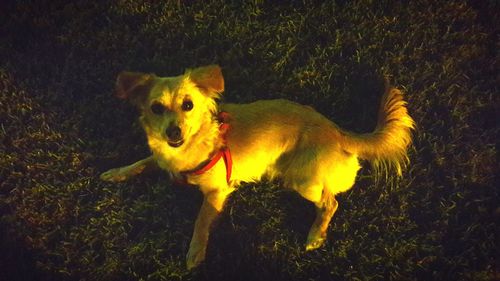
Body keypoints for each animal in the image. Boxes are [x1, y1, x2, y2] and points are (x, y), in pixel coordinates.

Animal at [98, 64, 414, 268]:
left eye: (188, 105)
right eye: (156, 108)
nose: (173, 132)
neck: (195, 143)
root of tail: (337, 131)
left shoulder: (217, 192)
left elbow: (201, 219)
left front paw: (195, 252)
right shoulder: (163, 159)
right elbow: (142, 161)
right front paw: (116, 173)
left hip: (301, 181)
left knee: (331, 202)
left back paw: (315, 234)